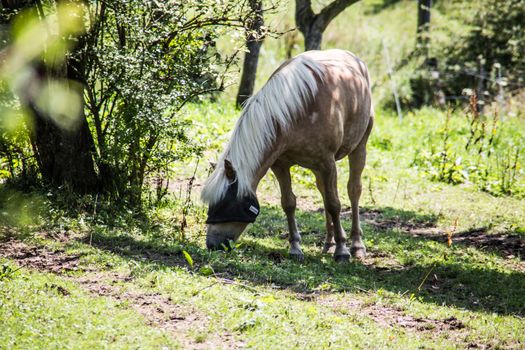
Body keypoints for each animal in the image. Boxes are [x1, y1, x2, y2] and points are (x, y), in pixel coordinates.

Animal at [201, 49, 372, 262]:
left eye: (225, 204)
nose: (212, 244)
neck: (296, 110)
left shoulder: (327, 162)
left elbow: (334, 205)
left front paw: (342, 251)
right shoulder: (281, 165)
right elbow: (289, 203)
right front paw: (295, 248)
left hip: (358, 147)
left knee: (353, 191)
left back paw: (356, 245)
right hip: (317, 169)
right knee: (324, 193)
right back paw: (328, 243)